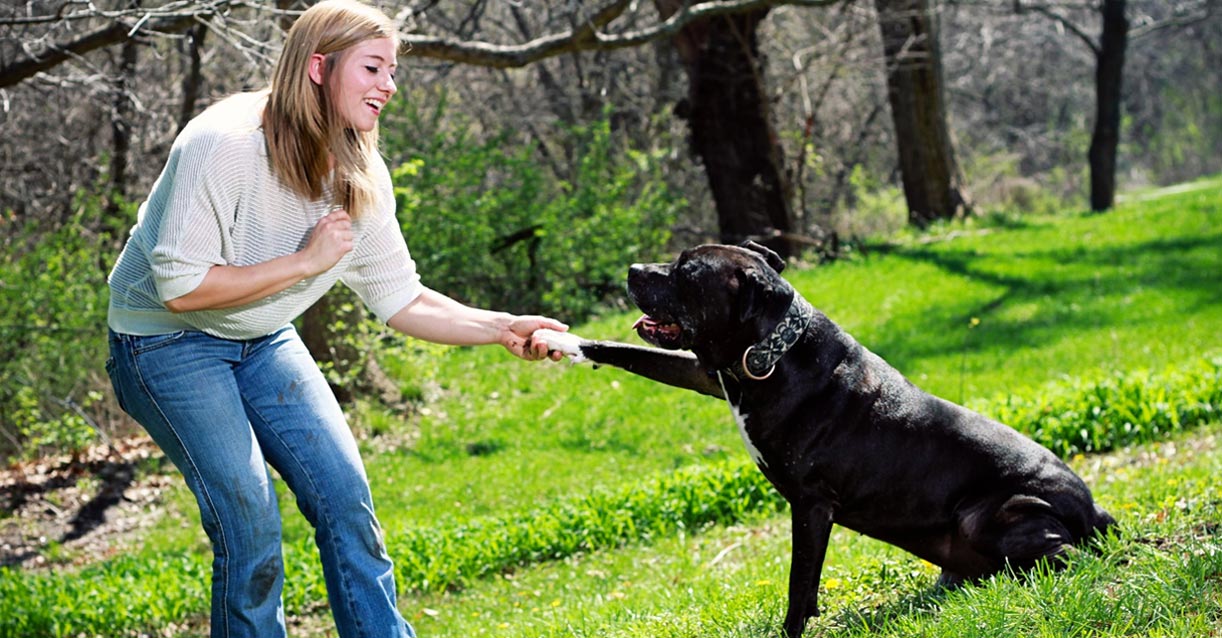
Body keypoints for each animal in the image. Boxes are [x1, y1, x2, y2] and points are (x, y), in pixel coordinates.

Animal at [530, 239, 1114, 635]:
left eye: (686, 272)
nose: (632, 269)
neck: (772, 350)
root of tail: (1094, 509)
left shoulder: (811, 504)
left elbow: (799, 579)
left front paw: (792, 629)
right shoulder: (709, 375)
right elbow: (632, 354)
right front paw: (562, 341)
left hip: (1001, 515)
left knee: (1074, 558)